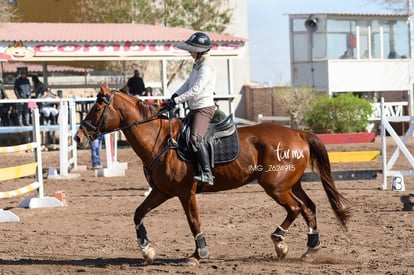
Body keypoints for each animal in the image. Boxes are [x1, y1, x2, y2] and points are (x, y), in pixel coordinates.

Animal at [74, 83, 350, 266]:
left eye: (97, 106)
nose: (78, 137)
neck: (161, 141)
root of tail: (299, 133)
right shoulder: (161, 192)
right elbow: (138, 213)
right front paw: (146, 250)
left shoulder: (185, 193)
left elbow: (193, 221)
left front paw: (198, 254)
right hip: (291, 184)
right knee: (309, 207)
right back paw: (310, 249)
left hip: (276, 187)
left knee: (296, 208)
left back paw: (280, 243)